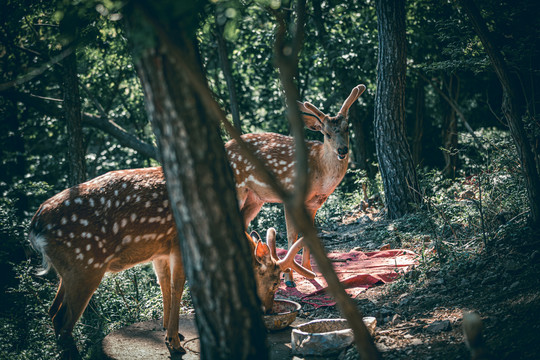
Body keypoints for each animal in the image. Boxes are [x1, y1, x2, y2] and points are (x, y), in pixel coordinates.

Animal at [28, 167, 316, 358]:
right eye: (274, 281)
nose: (268, 310)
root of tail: (36, 226)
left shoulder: (160, 250)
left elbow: (163, 285)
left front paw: (170, 331)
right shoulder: (178, 243)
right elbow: (178, 287)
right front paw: (174, 343)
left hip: (68, 270)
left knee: (52, 311)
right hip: (86, 264)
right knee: (63, 321)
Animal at [224, 83, 368, 284]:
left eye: (347, 128)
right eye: (327, 134)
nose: (343, 150)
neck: (319, 171)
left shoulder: (315, 202)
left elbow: (309, 236)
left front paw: (311, 271)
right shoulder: (292, 196)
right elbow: (292, 236)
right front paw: (289, 278)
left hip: (255, 198)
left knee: (242, 224)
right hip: (238, 189)